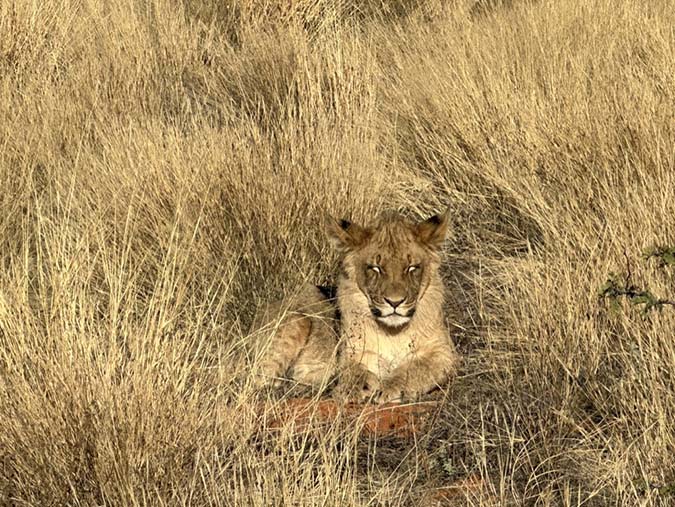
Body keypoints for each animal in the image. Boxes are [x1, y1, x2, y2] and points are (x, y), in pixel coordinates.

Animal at [252, 210, 460, 404]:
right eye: (375, 268)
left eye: (411, 268)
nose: (395, 302)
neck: (393, 332)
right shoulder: (355, 352)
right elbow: (354, 371)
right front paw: (353, 389)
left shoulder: (443, 353)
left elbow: (415, 369)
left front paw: (390, 388)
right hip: (297, 320)